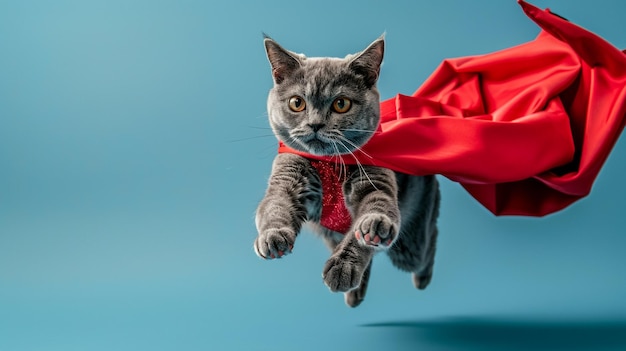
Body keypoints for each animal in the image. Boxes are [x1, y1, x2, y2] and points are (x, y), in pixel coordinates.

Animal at [254, 35, 438, 308]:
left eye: (341, 104)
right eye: (297, 103)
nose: (315, 124)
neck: (329, 163)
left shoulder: (375, 178)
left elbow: (375, 207)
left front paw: (367, 236)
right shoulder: (287, 176)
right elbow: (274, 205)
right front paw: (273, 236)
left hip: (411, 244)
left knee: (428, 241)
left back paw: (421, 278)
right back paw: (355, 294)